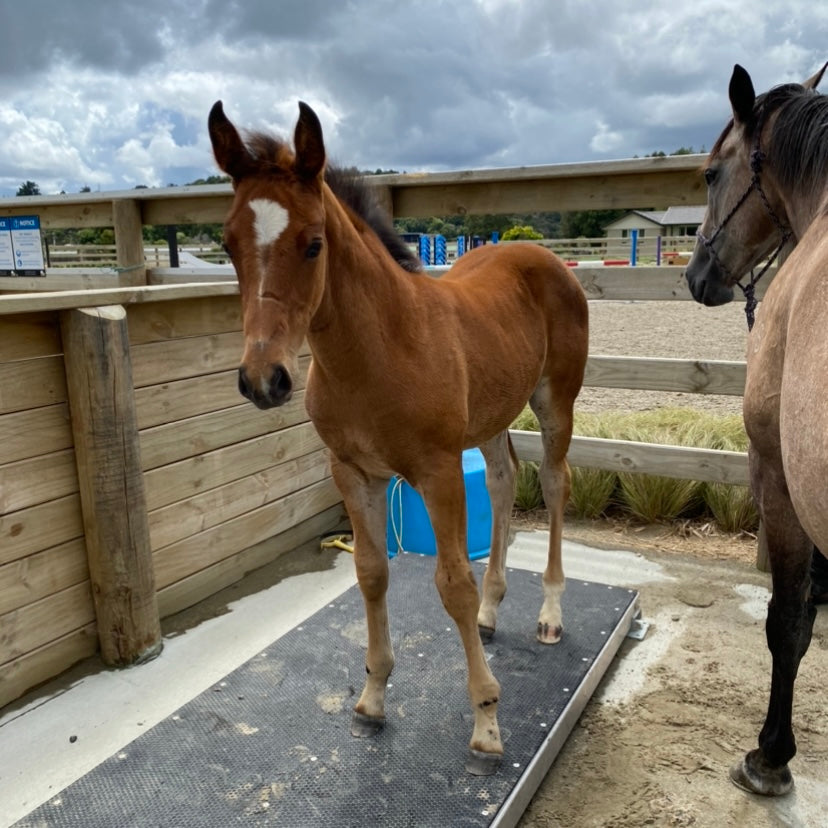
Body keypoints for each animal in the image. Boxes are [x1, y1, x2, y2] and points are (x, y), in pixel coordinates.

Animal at [208, 100, 588, 775]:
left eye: (314, 243)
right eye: (227, 244)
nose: (262, 380)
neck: (376, 352)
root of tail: (542, 255)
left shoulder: (436, 471)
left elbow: (452, 584)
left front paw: (486, 723)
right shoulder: (353, 470)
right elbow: (370, 572)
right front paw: (372, 696)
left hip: (555, 402)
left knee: (553, 483)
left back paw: (548, 613)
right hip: (490, 414)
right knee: (504, 478)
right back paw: (494, 610)